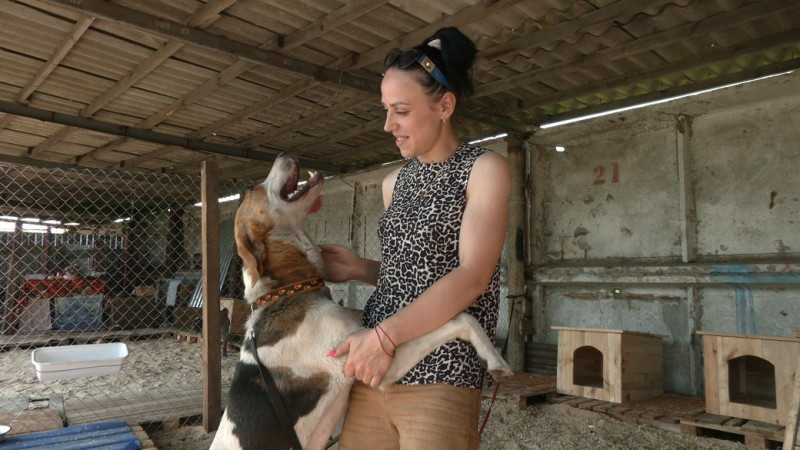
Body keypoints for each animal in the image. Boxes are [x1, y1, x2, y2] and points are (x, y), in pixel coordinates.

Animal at [211, 152, 512, 450]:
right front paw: (496, 361)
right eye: (253, 189)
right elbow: (460, 318)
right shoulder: (371, 363)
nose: (284, 152)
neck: (290, 291)